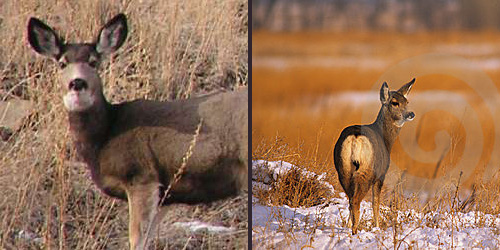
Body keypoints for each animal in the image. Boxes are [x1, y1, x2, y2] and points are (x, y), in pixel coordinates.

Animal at [26, 14, 249, 250]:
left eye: (94, 62)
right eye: (61, 63)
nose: (77, 82)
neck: (105, 136)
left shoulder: (141, 176)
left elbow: (136, 239)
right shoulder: (165, 195)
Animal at [334, 79, 416, 235]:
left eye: (407, 101)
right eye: (394, 102)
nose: (411, 114)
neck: (386, 139)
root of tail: (355, 137)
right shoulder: (381, 175)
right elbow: (376, 202)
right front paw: (377, 227)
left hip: (343, 168)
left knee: (350, 199)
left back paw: (351, 227)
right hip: (367, 170)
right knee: (356, 200)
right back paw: (355, 230)